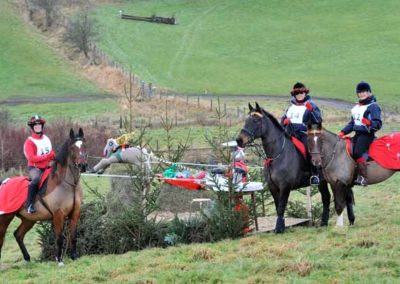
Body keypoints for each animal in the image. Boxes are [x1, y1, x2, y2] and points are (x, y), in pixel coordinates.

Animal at [0, 129, 87, 266]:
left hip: (28, 219)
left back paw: (27, 259)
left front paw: (74, 257)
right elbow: (59, 237)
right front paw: (59, 260)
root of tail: (4, 182)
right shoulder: (58, 215)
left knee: (18, 234)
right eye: (73, 147)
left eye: (84, 145)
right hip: (5, 217)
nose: (83, 166)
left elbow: (73, 236)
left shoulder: (75, 214)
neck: (69, 185)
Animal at [236, 102, 332, 233]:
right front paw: (281, 227)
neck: (277, 155)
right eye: (246, 120)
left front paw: (278, 229)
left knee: (328, 198)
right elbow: (278, 207)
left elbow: (281, 207)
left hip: (324, 180)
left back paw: (326, 222)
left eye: (256, 120)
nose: (239, 140)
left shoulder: (285, 186)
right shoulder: (273, 187)